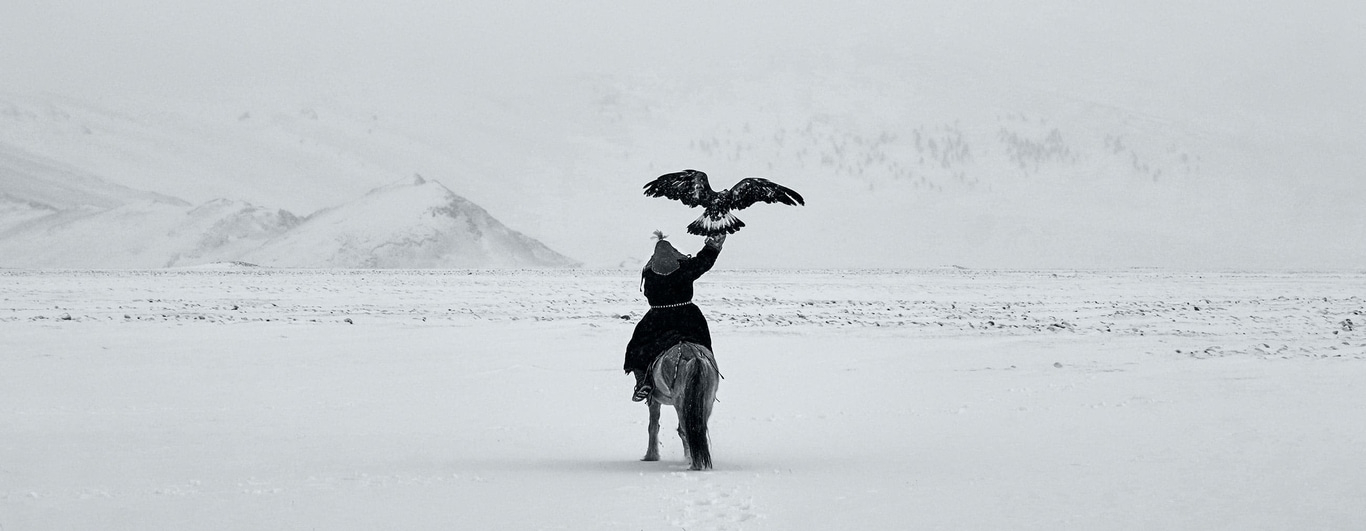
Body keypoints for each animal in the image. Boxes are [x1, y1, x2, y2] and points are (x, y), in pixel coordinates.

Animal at [641, 341, 720, 470]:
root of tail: (694, 356)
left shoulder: (653, 399)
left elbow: (653, 427)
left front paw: (651, 456)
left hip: (681, 404)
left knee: (687, 430)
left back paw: (695, 465)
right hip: (706, 402)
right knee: (697, 429)